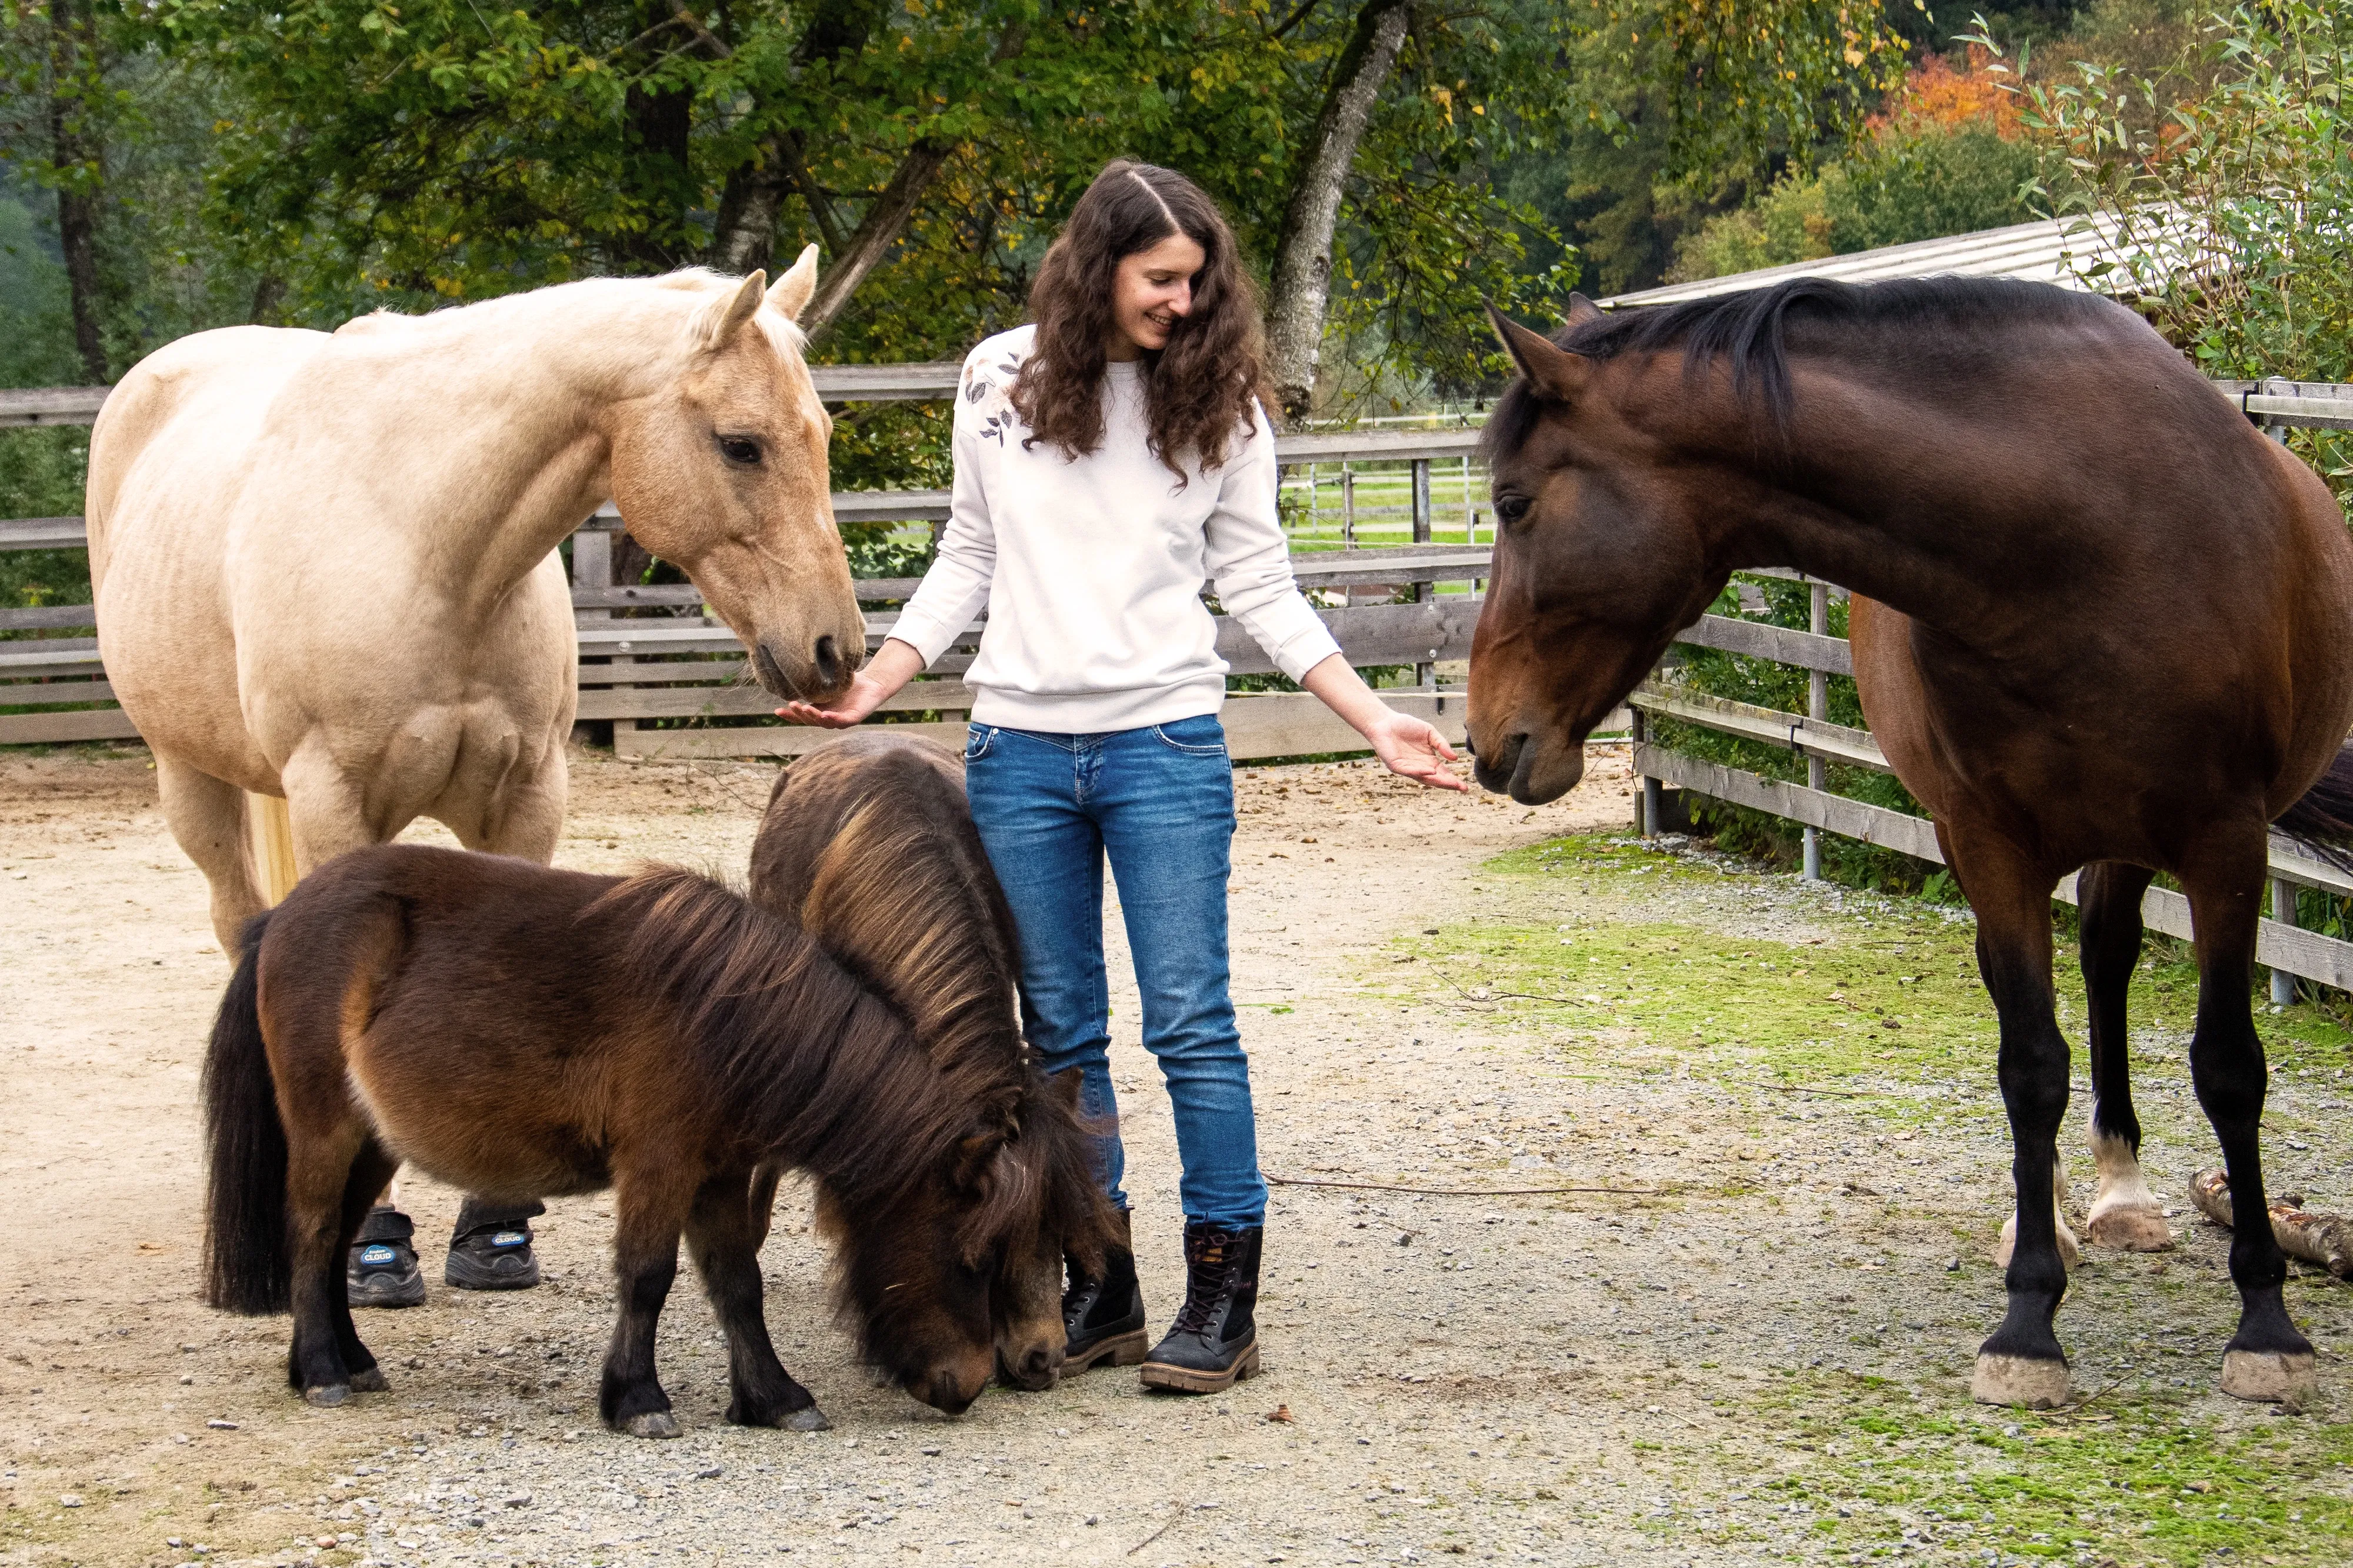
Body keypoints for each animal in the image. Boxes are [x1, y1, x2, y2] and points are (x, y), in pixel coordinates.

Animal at [85, 251, 866, 951]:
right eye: (741, 445)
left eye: (822, 434)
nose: (838, 650)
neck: (427, 554)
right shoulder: (329, 804)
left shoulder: (524, 802)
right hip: (188, 774)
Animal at [199, 841, 1103, 1434]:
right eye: (977, 1258)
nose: (972, 1384)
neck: (725, 1018)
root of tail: (282, 914)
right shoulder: (659, 1166)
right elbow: (647, 1277)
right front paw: (637, 1398)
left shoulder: (720, 1174)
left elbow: (738, 1283)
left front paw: (774, 1398)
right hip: (326, 1127)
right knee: (312, 1234)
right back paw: (323, 1371)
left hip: (373, 1141)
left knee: (336, 1242)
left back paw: (344, 1360)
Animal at [1471, 278, 2353, 1410]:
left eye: (1513, 503)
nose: (1488, 739)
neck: (2073, 540)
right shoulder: (1993, 844)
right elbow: (2030, 1065)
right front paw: (2029, 1321)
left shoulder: (2226, 842)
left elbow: (2231, 1068)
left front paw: (2268, 1322)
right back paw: (2051, 1206)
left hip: (2134, 841)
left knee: (2107, 959)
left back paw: (2122, 1189)